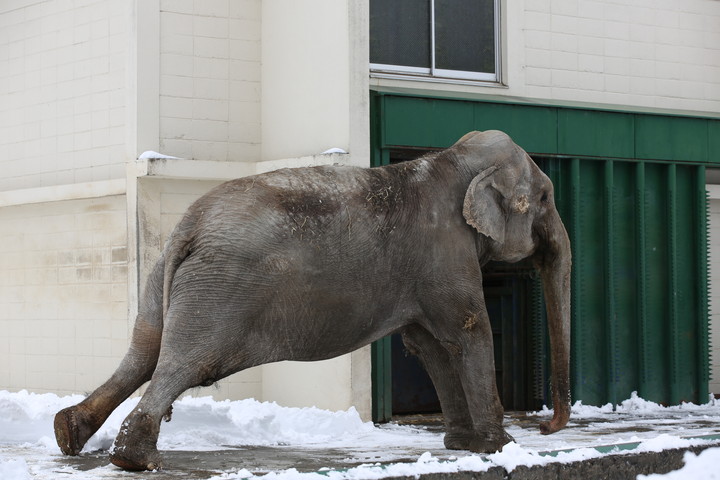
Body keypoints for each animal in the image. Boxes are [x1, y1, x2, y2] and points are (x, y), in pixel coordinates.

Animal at [54, 129, 572, 470]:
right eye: (546, 198)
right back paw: (134, 459)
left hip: (165, 275)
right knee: (184, 361)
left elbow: (429, 346)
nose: (545, 428)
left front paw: (463, 446)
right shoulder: (444, 254)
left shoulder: (429, 268)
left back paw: (69, 433)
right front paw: (500, 448)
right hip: (220, 288)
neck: (452, 160)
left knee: (144, 351)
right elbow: (467, 332)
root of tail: (189, 224)